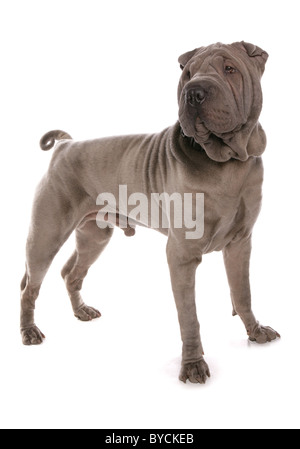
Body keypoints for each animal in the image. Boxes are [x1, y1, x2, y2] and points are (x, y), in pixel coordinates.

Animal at [20, 42, 278, 384]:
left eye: (230, 69)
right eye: (188, 73)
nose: (194, 92)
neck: (227, 162)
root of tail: (66, 144)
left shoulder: (240, 243)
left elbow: (243, 292)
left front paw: (255, 331)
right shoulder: (181, 255)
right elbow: (189, 316)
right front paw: (193, 364)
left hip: (94, 236)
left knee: (70, 272)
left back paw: (81, 311)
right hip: (46, 235)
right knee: (30, 286)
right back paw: (29, 331)